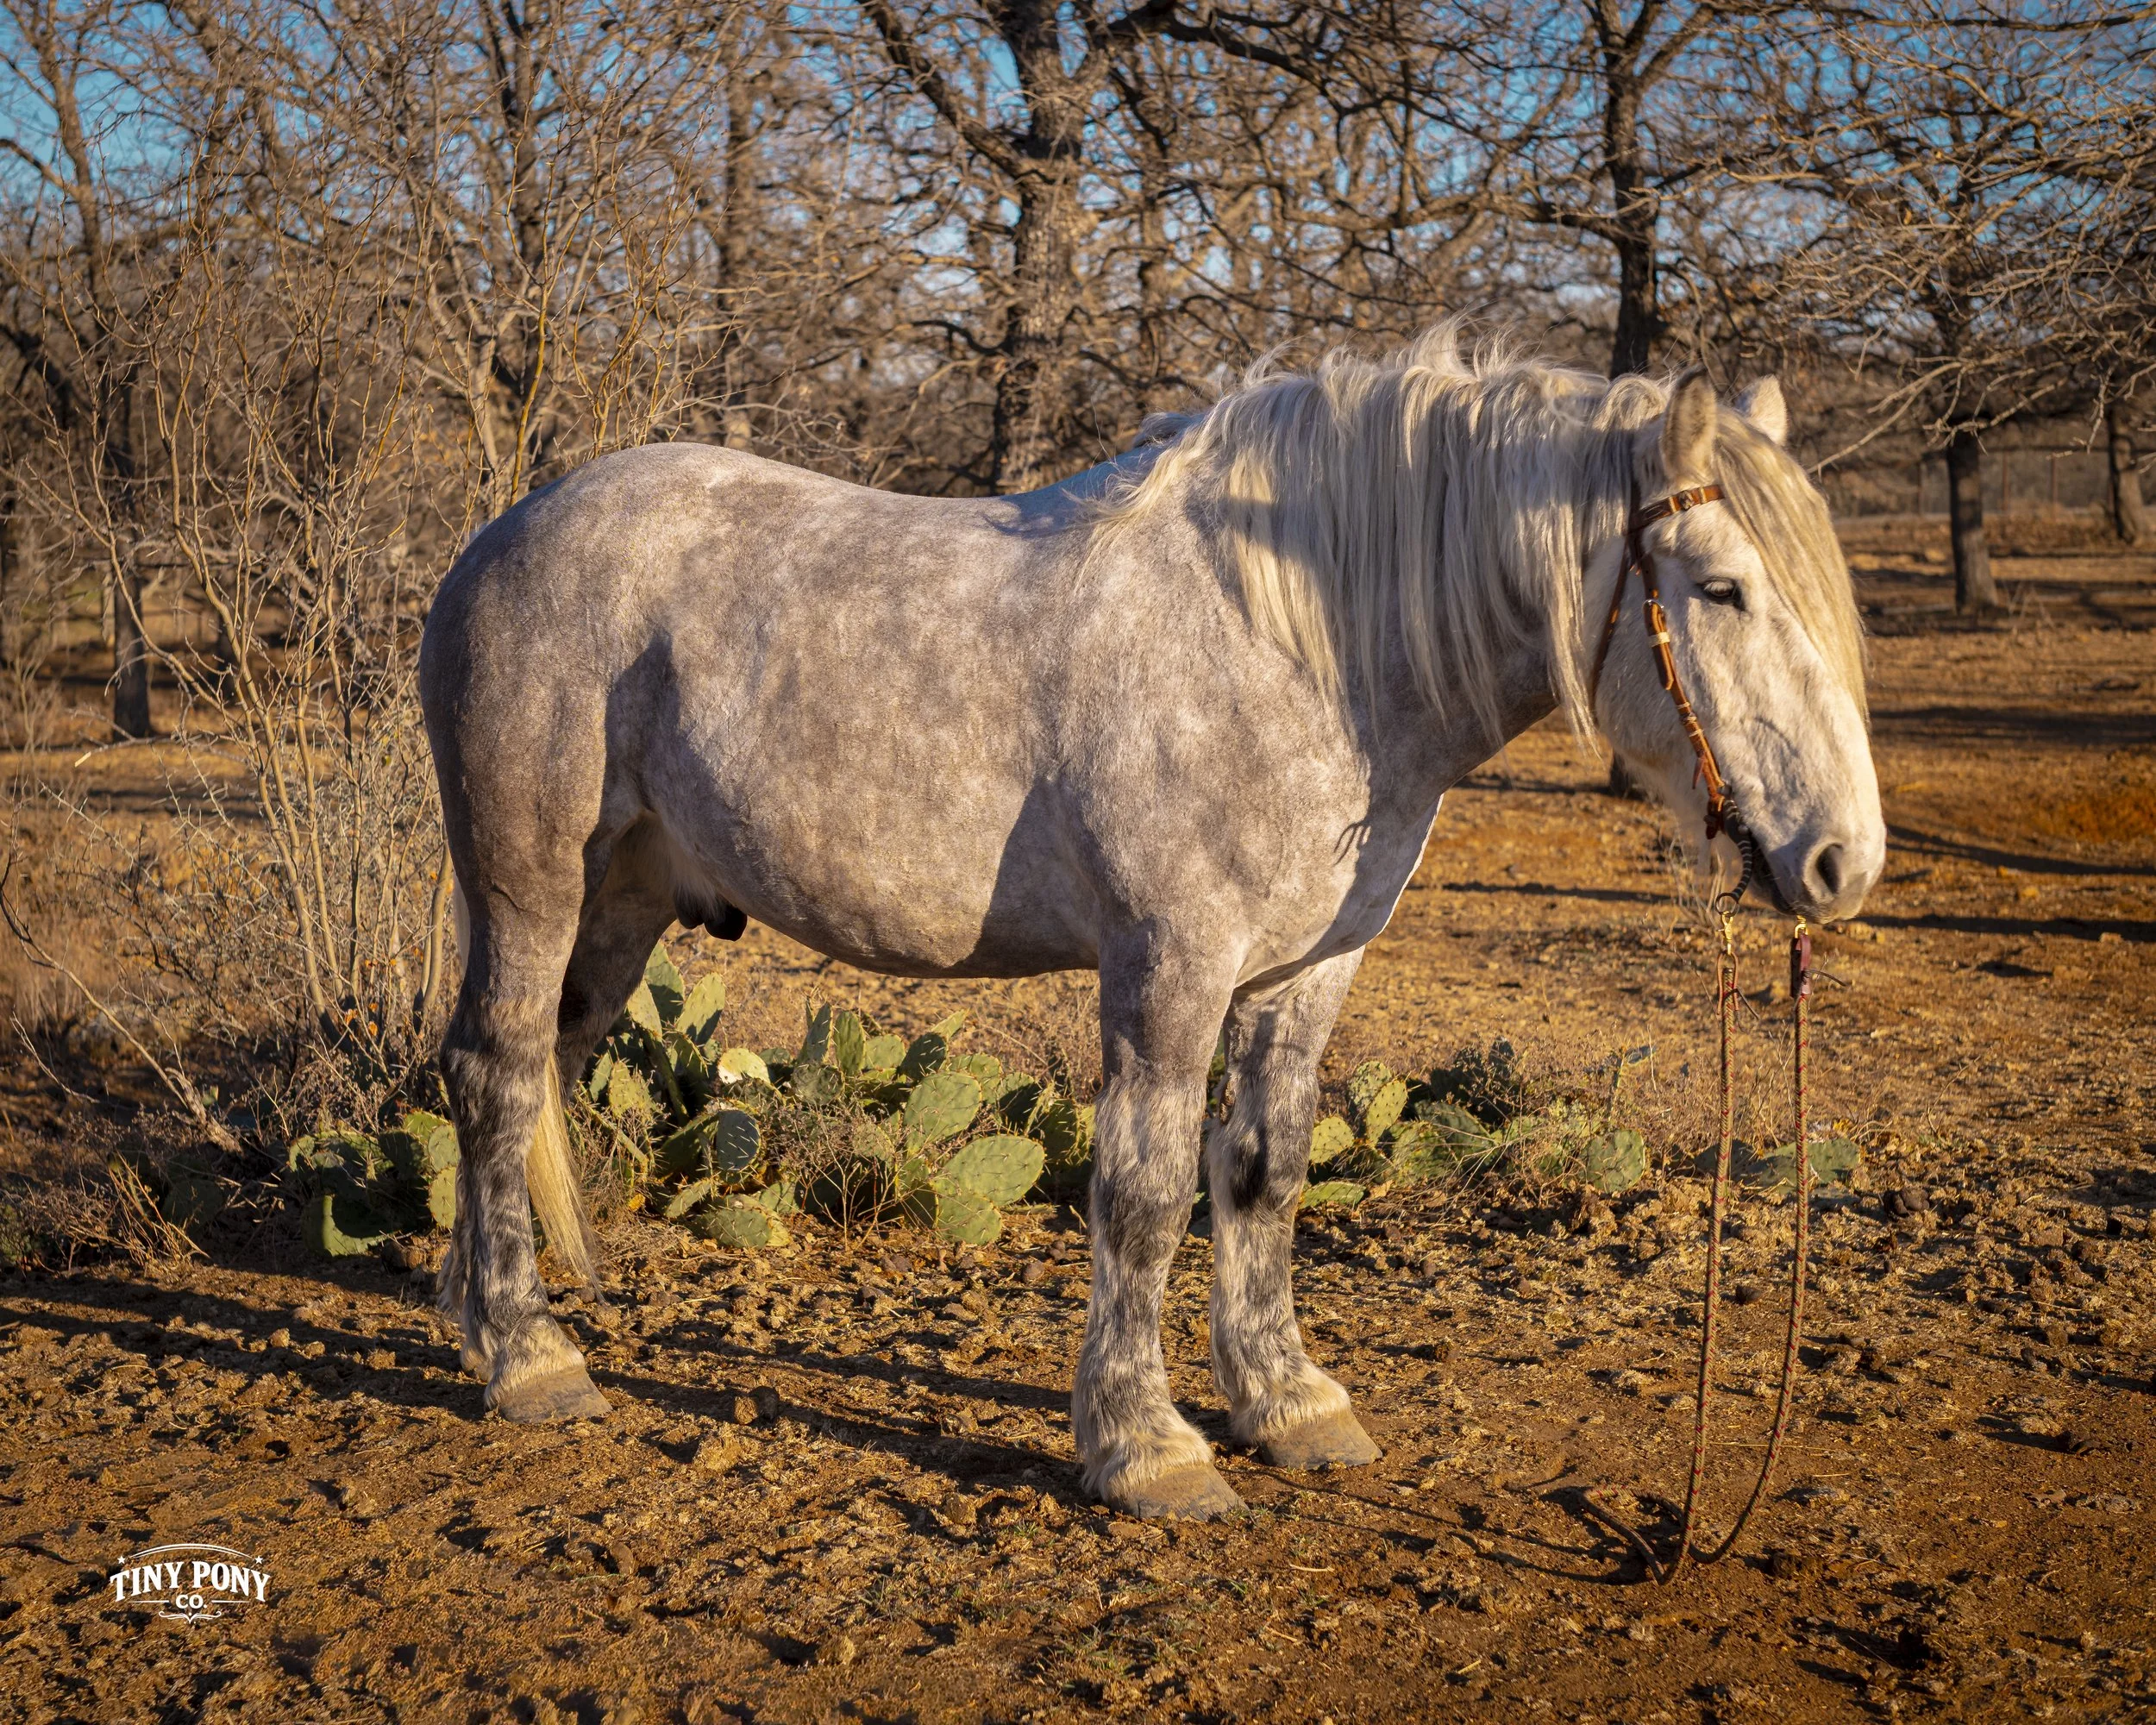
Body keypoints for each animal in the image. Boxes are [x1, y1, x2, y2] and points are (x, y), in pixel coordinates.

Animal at [419, 328, 1883, 1521]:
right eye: (1722, 589)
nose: (1841, 863)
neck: (1307, 651)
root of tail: (499, 540)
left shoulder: (1308, 973)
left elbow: (1266, 1172)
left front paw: (1288, 1403)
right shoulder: (1171, 968)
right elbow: (1140, 1195)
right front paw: (1146, 1444)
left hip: (621, 905)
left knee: (540, 1074)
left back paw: (492, 1318)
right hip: (530, 882)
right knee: (494, 1075)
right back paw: (529, 1360)